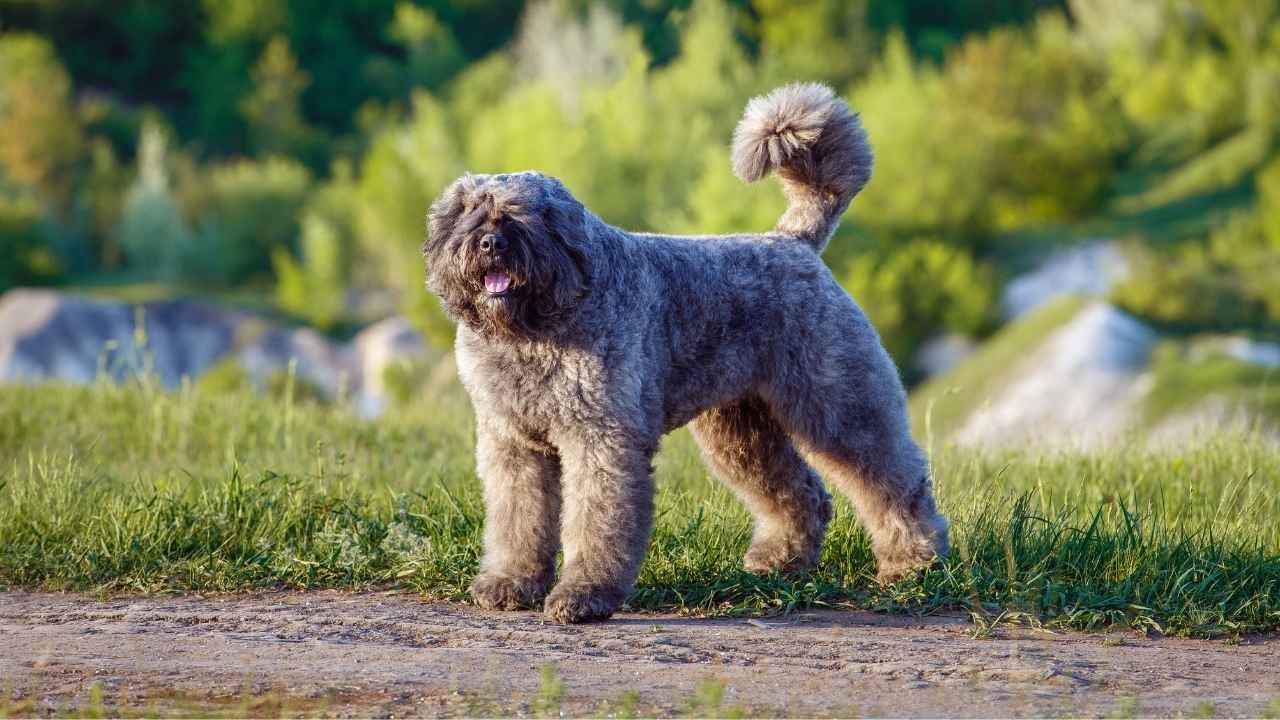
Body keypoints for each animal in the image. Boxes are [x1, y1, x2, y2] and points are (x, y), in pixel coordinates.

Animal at [424, 82, 947, 622]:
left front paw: (585, 593)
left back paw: (912, 564)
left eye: (526, 215)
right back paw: (778, 561)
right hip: (741, 430)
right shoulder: (513, 443)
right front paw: (511, 581)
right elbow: (518, 518)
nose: (491, 243)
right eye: (467, 213)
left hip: (838, 405)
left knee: (891, 480)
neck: (539, 325)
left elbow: (596, 520)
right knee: (800, 492)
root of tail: (794, 242)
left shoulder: (600, 439)